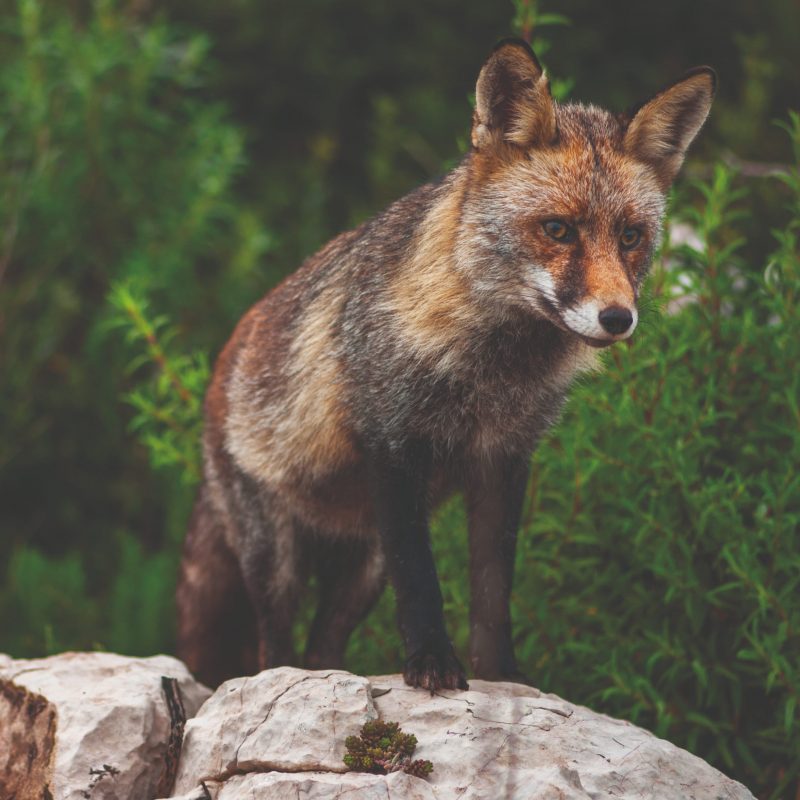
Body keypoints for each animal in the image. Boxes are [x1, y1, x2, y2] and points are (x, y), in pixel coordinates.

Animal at [175, 37, 712, 692]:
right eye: (558, 229)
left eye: (631, 237)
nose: (618, 318)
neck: (491, 373)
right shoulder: (394, 449)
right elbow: (423, 582)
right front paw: (432, 662)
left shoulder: (504, 460)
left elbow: (493, 591)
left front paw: (503, 678)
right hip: (278, 560)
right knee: (272, 645)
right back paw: (280, 681)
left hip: (362, 568)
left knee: (323, 644)